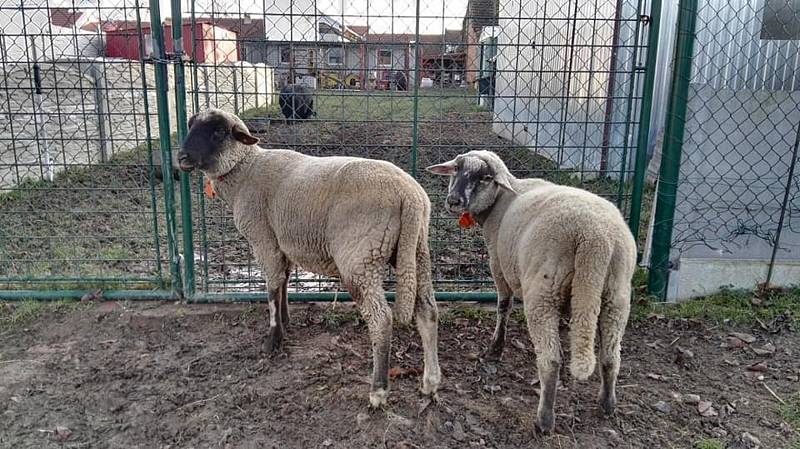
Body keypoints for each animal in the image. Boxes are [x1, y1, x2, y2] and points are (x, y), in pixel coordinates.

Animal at [177, 108, 444, 406]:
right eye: (190, 125)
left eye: (219, 132)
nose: (182, 157)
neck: (246, 170)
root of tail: (410, 196)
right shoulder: (283, 242)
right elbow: (283, 281)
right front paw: (285, 321)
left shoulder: (263, 238)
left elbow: (272, 287)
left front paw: (273, 340)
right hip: (415, 250)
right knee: (428, 311)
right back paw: (430, 382)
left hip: (360, 257)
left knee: (381, 320)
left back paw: (378, 391)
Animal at [428, 150, 636, 434]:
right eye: (456, 169)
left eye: (485, 177)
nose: (453, 201)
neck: (501, 200)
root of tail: (595, 239)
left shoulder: (498, 265)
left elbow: (503, 306)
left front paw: (495, 348)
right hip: (616, 295)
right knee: (611, 356)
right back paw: (607, 404)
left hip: (543, 291)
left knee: (551, 361)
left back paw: (544, 420)